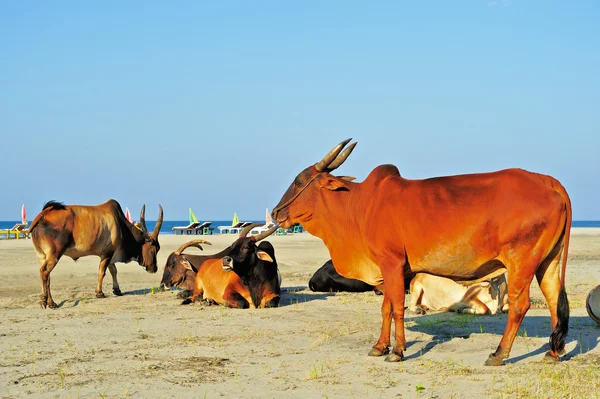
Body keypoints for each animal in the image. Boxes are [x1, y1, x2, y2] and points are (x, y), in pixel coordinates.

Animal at [29, 200, 163, 310]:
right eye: (154, 249)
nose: (154, 268)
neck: (120, 223)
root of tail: (44, 213)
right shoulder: (108, 253)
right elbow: (102, 272)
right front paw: (99, 293)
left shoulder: (110, 254)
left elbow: (113, 270)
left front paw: (117, 290)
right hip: (54, 254)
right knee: (44, 272)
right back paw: (46, 301)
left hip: (42, 256)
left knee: (46, 277)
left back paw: (50, 302)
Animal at [272, 139, 572, 368]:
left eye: (299, 181)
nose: (275, 212)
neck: (360, 206)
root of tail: (549, 182)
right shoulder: (388, 269)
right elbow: (386, 308)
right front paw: (380, 346)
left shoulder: (391, 263)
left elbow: (396, 308)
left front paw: (397, 351)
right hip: (548, 261)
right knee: (554, 300)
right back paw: (552, 352)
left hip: (522, 261)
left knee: (520, 306)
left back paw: (499, 354)